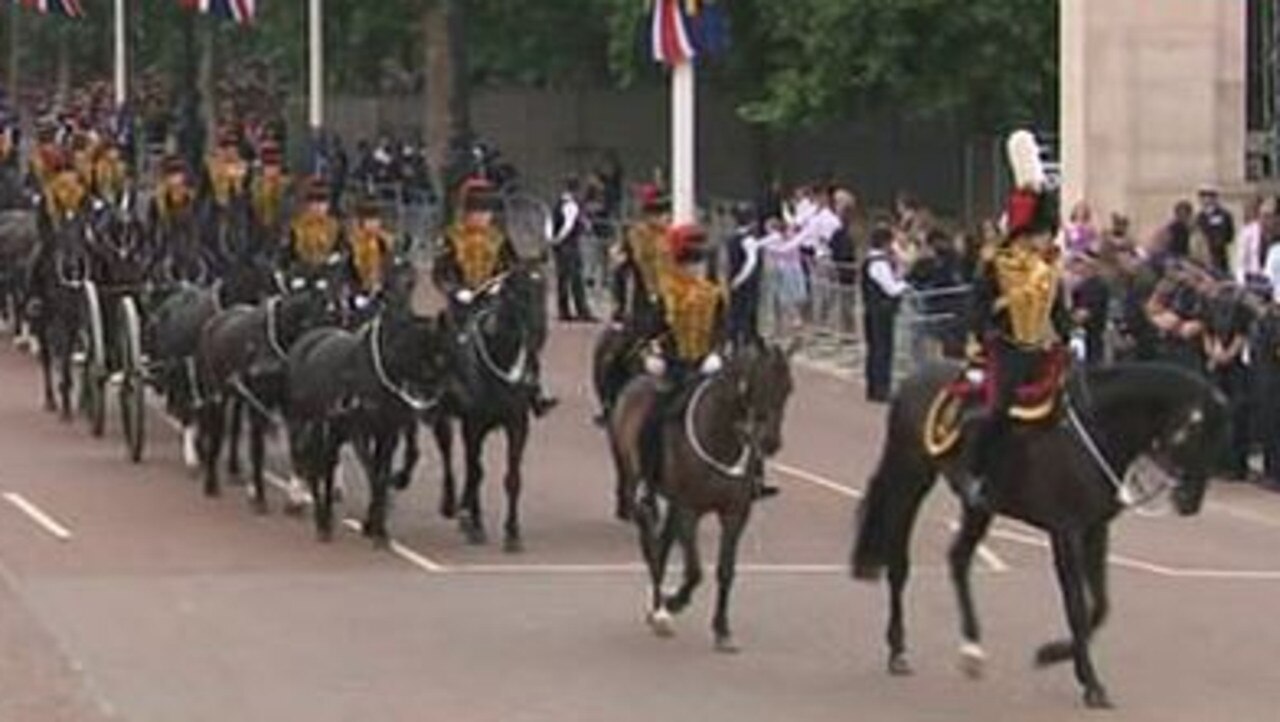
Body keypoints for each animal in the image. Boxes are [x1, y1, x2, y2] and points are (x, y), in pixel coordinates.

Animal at [285, 262, 450, 545]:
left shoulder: (389, 430)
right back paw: (318, 517)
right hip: (310, 421)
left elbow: (385, 470)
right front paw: (375, 523)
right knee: (313, 460)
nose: (432, 407)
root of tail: (308, 339)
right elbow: (374, 472)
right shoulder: (359, 430)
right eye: (432, 358)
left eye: (412, 281)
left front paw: (376, 524)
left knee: (326, 462)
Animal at [432, 259, 547, 553]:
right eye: (517, 291)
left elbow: (512, 477)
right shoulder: (473, 425)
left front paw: (513, 533)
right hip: (445, 419)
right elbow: (476, 472)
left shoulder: (518, 424)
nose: (539, 333)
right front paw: (474, 525)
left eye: (544, 288)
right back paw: (451, 504)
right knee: (448, 454)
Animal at [604, 340, 793, 650]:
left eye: (788, 388)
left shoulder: (735, 513)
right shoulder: (689, 510)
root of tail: (636, 382)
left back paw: (658, 606)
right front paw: (674, 601)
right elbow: (695, 570)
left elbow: (725, 570)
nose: (770, 443)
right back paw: (659, 609)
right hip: (638, 489)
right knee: (651, 544)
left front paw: (722, 629)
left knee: (663, 544)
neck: (720, 439)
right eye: (754, 385)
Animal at [849, 358, 1228, 706]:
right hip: (911, 476)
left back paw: (972, 649)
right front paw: (1089, 682)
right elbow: (1077, 608)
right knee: (899, 561)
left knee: (958, 559)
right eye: (1196, 432)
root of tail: (913, 376)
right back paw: (899, 651)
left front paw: (1055, 655)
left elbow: (1101, 607)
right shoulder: (1065, 532)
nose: (1191, 503)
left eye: (1219, 437)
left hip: (979, 506)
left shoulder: (1096, 529)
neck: (1096, 431)